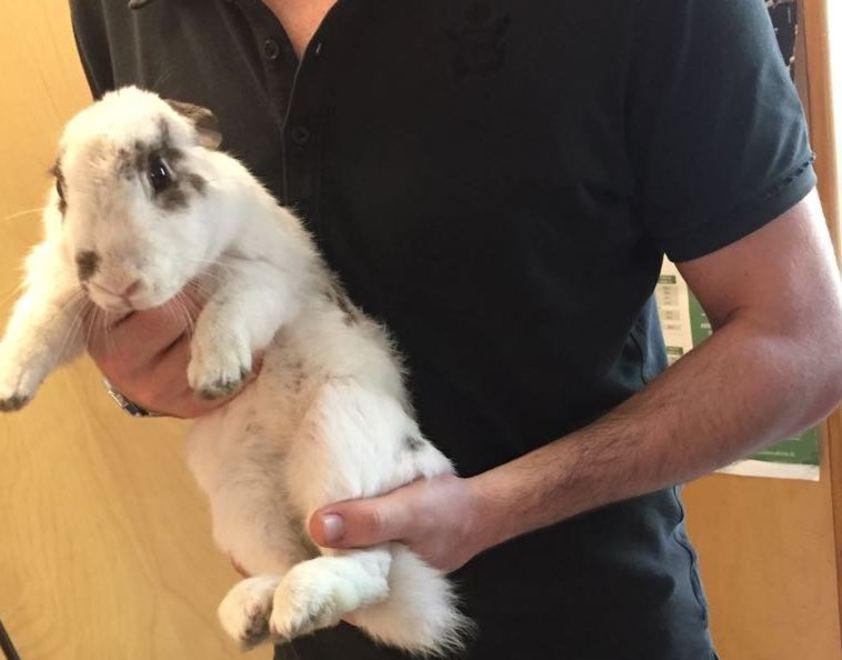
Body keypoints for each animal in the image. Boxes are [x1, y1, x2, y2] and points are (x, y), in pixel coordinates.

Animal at [0, 86, 470, 655]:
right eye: (62, 188)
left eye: (160, 172)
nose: (117, 281)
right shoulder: (64, 287)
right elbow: (38, 324)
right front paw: (8, 389)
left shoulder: (265, 278)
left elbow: (230, 307)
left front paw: (215, 374)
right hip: (242, 498)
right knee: (286, 560)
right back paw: (253, 613)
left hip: (341, 452)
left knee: (366, 566)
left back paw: (300, 605)